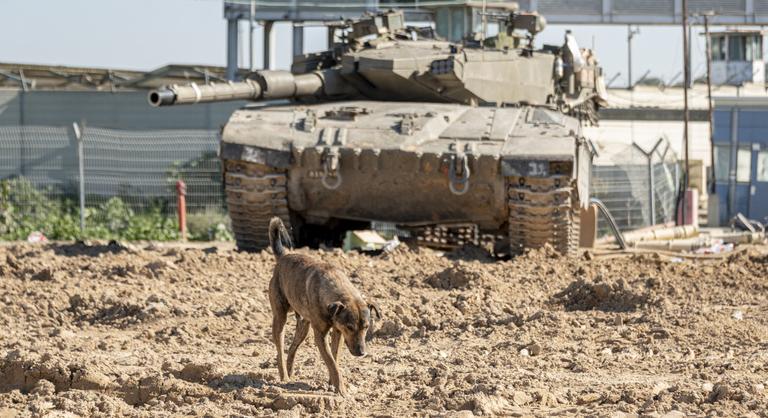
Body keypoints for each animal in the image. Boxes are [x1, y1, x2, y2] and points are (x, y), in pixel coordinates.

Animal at [268, 217, 380, 396]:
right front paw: (341, 389)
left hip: (304, 326)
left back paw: (290, 373)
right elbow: (332, 362)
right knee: (280, 349)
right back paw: (284, 376)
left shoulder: (338, 332)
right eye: (350, 327)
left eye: (366, 327)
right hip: (280, 318)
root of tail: (284, 255)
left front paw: (331, 383)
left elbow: (335, 358)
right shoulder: (321, 335)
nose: (362, 353)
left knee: (292, 348)